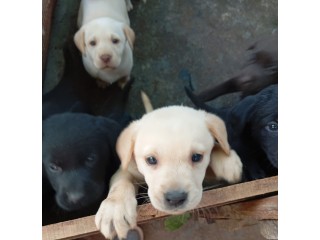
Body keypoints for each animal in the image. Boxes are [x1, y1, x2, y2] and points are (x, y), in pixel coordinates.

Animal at [95, 105, 242, 240]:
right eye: (151, 159)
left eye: (196, 157)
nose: (175, 198)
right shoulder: (127, 168)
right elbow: (122, 182)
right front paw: (114, 210)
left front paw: (226, 159)